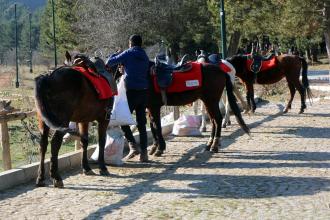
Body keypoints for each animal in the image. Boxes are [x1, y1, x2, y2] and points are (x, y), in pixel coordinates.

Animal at [34, 52, 115, 187]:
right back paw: (56, 177)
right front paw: (102, 167)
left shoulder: (84, 120)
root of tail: (48, 77)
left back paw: (40, 178)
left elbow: (84, 140)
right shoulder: (104, 119)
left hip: (43, 121)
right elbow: (102, 141)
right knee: (55, 143)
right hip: (62, 121)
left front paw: (86, 167)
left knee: (43, 144)